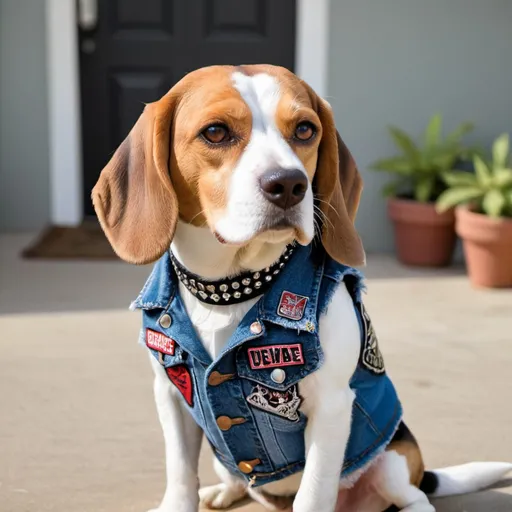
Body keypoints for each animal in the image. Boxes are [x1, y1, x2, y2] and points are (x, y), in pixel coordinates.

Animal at [93, 65, 512, 512]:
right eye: (216, 132)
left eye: (305, 130)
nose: (289, 184)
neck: (228, 290)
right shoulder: (172, 396)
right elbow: (180, 476)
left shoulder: (331, 406)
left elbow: (312, 496)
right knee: (239, 480)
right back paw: (225, 490)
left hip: (392, 464)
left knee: (415, 497)